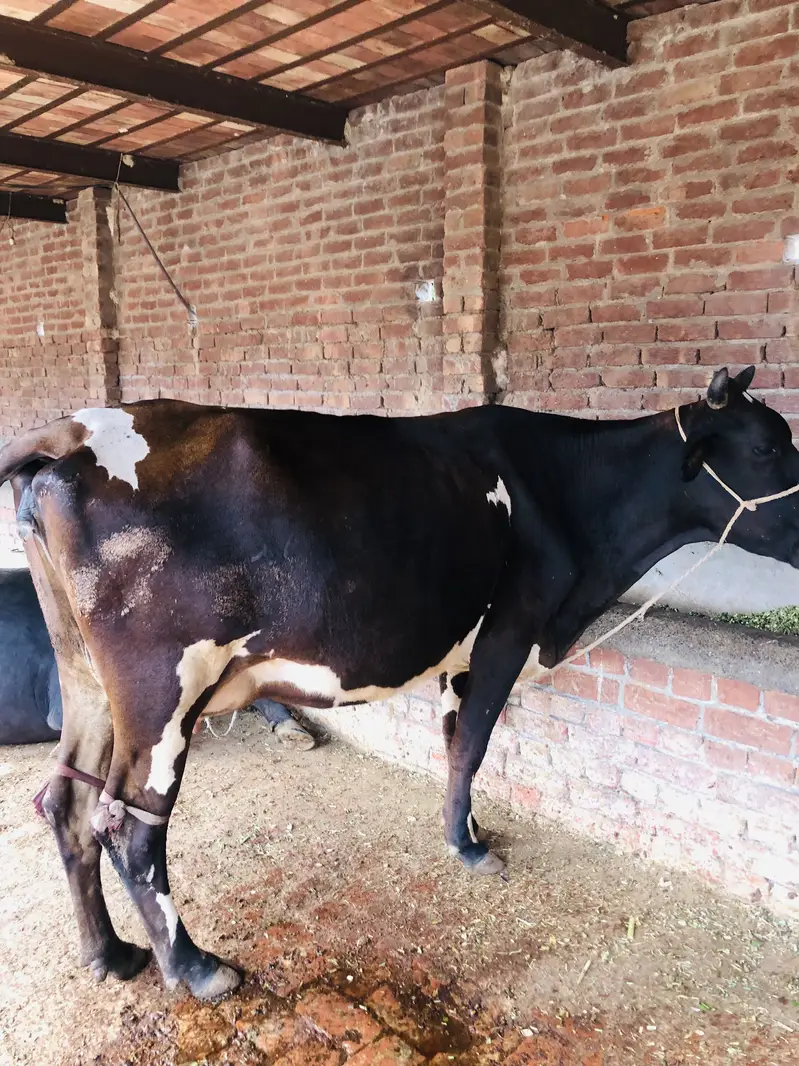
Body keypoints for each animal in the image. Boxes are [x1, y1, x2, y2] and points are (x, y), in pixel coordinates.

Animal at [0, 365, 797, 1000]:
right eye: (764, 447)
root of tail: (72, 430)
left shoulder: (459, 652)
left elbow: (450, 739)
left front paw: (465, 829)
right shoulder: (510, 630)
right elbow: (474, 743)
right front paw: (471, 851)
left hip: (86, 678)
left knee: (67, 802)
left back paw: (110, 955)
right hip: (160, 691)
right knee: (129, 827)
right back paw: (196, 969)